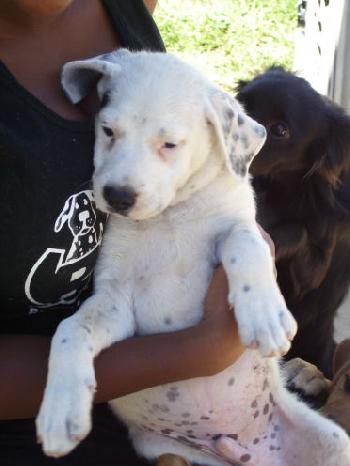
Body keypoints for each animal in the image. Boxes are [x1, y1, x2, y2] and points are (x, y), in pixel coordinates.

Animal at [36, 49, 350, 464]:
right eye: (107, 130)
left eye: (170, 144)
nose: (117, 196)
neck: (171, 214)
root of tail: (247, 448)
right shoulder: (115, 302)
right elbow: (71, 329)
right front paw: (60, 412)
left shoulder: (246, 227)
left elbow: (243, 242)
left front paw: (265, 316)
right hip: (168, 450)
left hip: (335, 442)